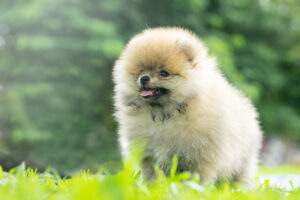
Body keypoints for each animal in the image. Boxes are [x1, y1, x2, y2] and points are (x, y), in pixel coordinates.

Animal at [111, 27, 262, 188]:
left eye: (163, 73)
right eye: (140, 71)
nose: (144, 78)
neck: (168, 114)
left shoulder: (200, 156)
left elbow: (196, 178)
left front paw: (194, 189)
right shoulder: (148, 153)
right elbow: (151, 174)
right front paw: (152, 187)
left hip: (242, 163)